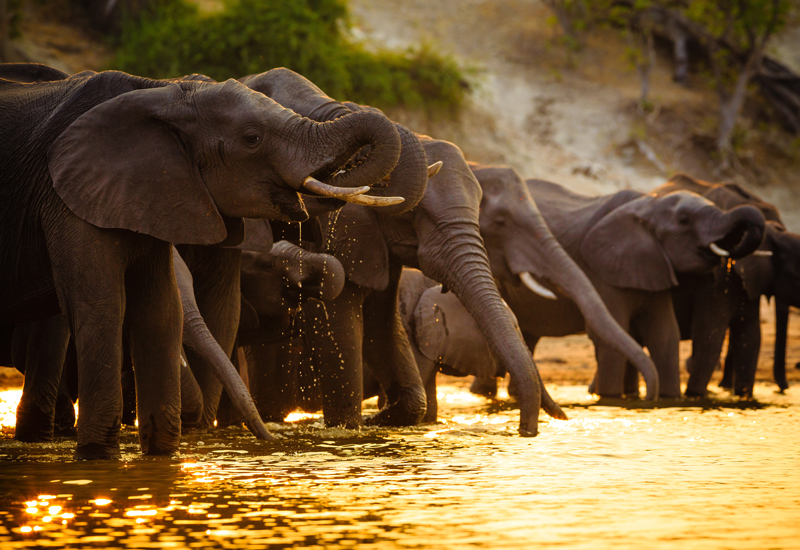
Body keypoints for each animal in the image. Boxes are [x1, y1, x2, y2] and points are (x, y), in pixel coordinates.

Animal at [0, 66, 405, 458]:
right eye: (252, 138)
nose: (271, 441)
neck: (159, 90)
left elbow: (162, 312)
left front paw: (162, 458)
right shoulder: (65, 199)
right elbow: (102, 309)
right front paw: (99, 459)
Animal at [471, 173, 766, 399]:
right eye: (684, 220)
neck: (646, 204)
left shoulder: (654, 266)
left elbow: (664, 333)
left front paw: (667, 400)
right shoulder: (602, 269)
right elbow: (615, 334)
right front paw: (611, 399)